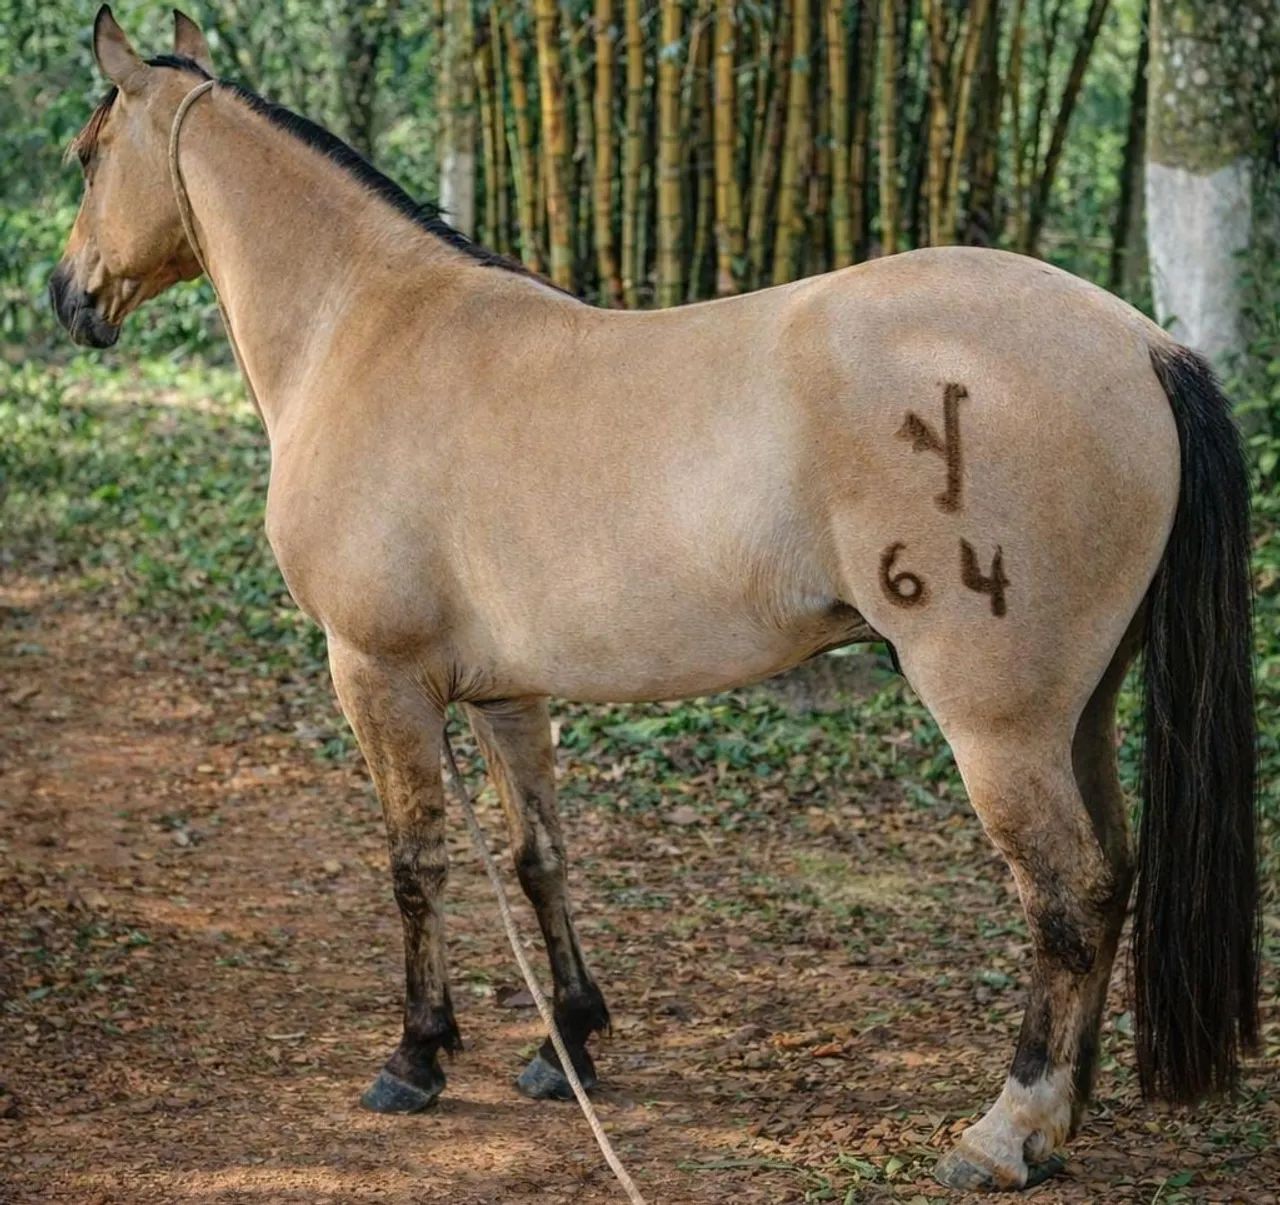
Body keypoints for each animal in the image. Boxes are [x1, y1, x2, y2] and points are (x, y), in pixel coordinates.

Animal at [50, 8, 1259, 1191]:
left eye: (88, 150)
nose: (67, 297)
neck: (368, 326)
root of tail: (1143, 343)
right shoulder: (505, 692)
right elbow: (538, 854)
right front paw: (567, 1044)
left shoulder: (376, 672)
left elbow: (415, 863)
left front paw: (417, 1054)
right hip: (1082, 708)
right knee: (1112, 875)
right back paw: (1063, 1114)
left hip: (1000, 724)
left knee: (1067, 891)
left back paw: (1007, 1128)